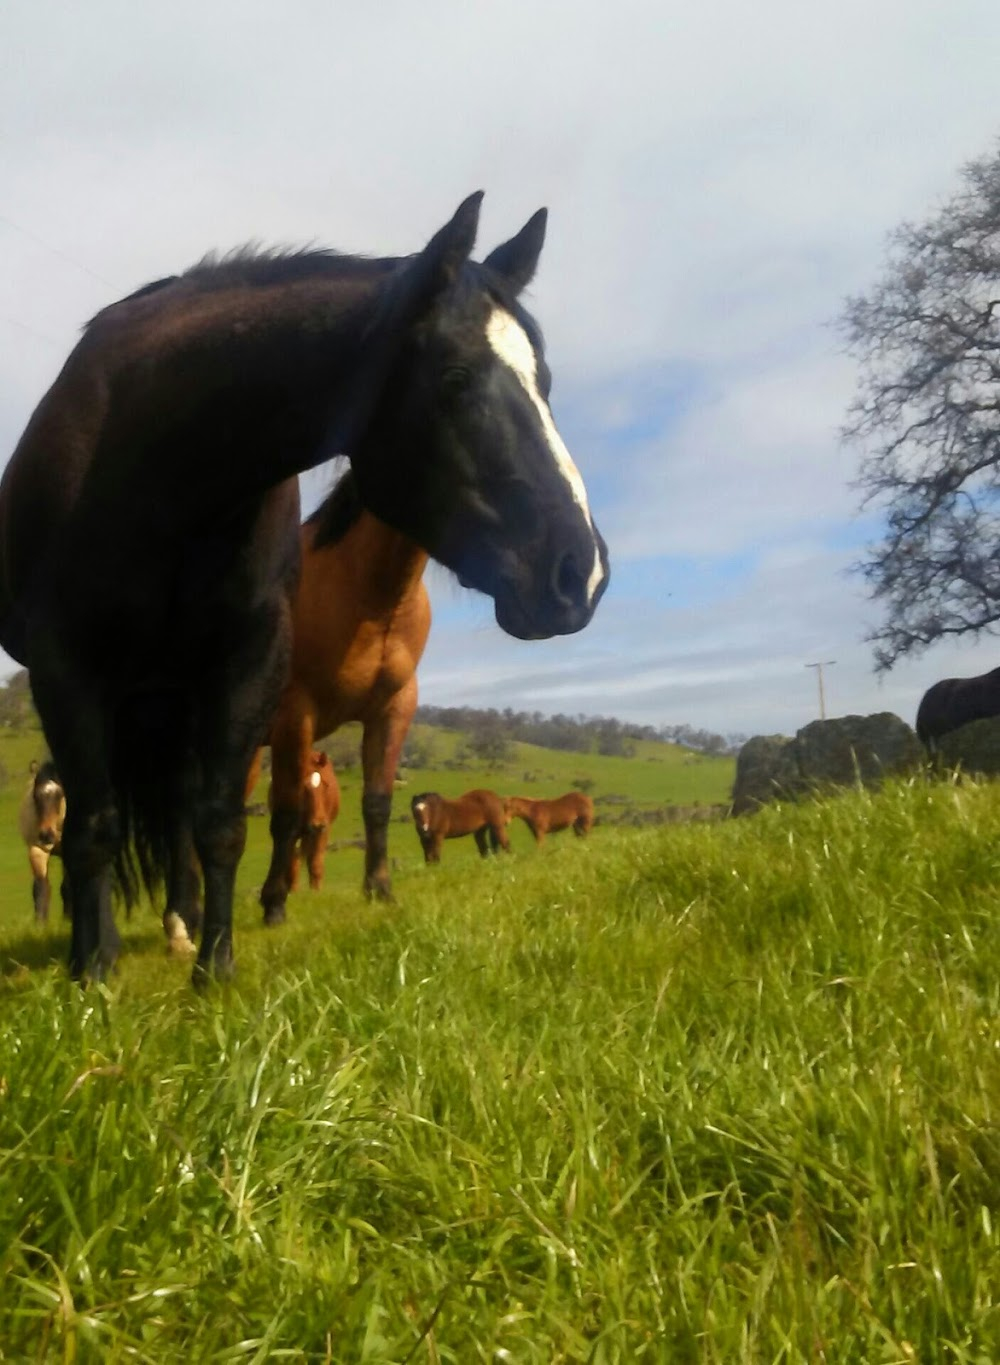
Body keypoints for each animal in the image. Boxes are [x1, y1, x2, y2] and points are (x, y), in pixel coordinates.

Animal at [257, 469, 428, 928]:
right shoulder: (294, 715)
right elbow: (285, 816)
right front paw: (274, 904)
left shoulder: (394, 709)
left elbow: (377, 804)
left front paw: (380, 889)